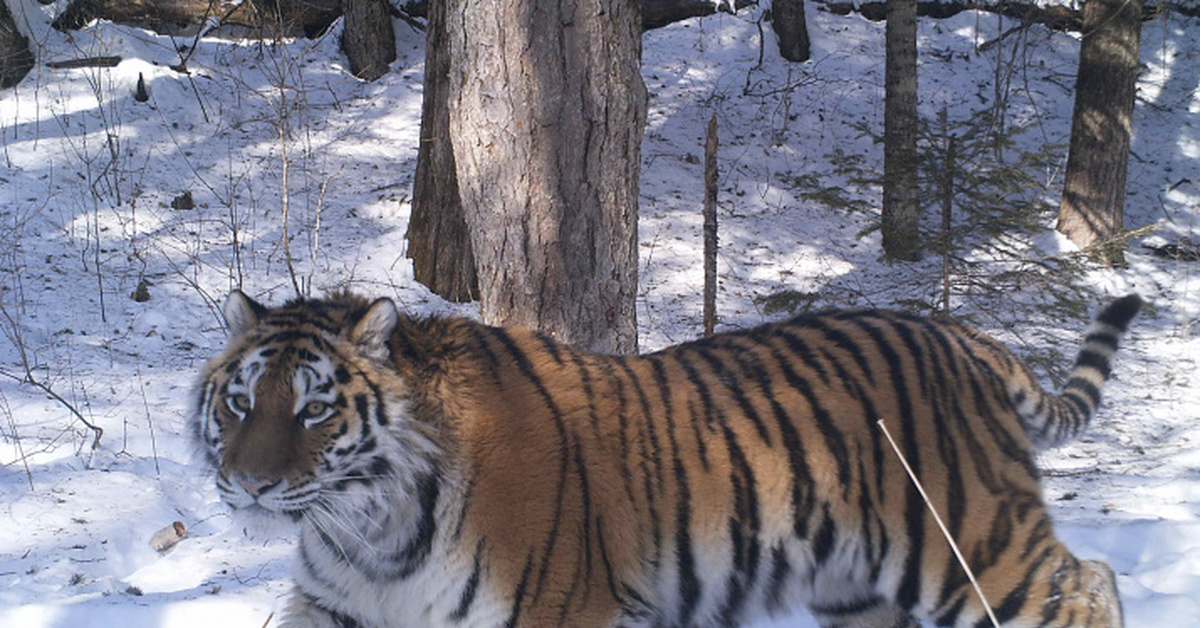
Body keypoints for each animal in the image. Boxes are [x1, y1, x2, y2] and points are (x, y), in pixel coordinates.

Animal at [192, 290, 1137, 628]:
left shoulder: (560, 612)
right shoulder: (336, 609)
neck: (371, 531)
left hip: (969, 545)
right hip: (855, 587)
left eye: (315, 409)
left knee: (1089, 583)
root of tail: (963, 337)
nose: (246, 484)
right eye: (241, 402)